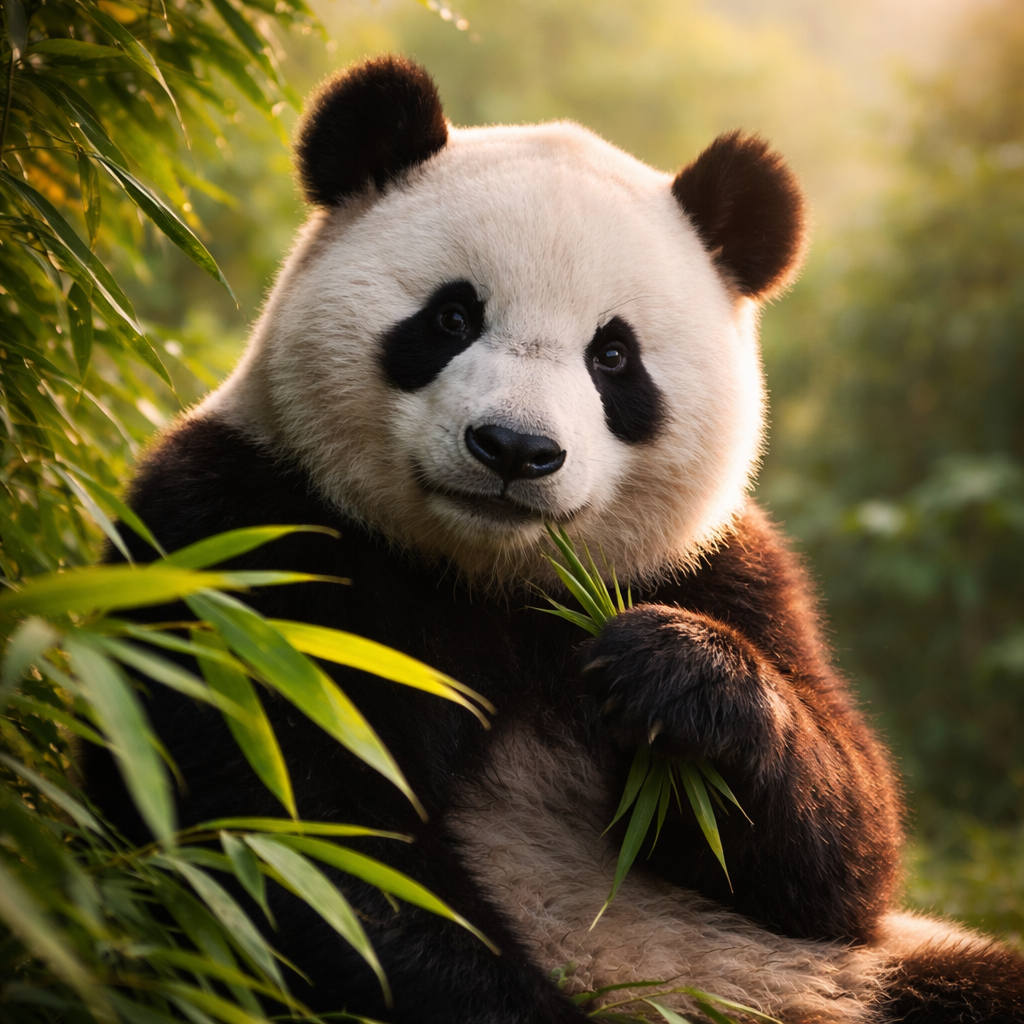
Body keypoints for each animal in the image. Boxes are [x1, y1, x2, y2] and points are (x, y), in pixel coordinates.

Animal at [89, 55, 1024, 1024]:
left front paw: (675, 672)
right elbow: (294, 841)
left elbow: (842, 862)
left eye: (613, 356)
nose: (514, 448)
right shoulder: (241, 529)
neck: (485, 574)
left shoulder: (720, 569)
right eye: (452, 317)